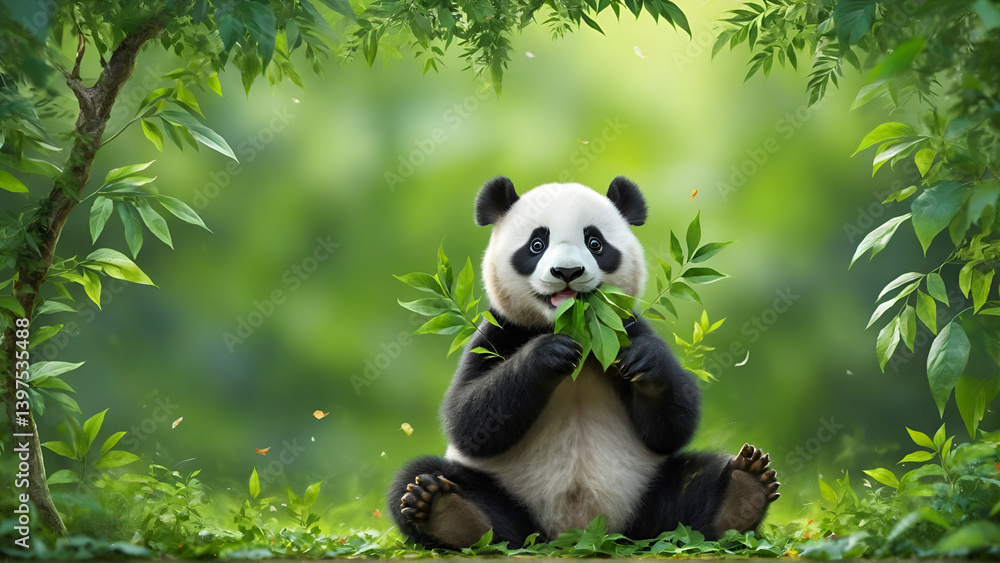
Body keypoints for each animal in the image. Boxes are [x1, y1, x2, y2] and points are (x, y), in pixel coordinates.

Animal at [389, 176, 779, 549]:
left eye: (595, 243)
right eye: (537, 245)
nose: (567, 272)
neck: (576, 327)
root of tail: (580, 533)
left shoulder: (625, 327)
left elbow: (672, 426)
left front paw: (642, 361)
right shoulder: (500, 333)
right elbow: (468, 421)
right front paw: (549, 355)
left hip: (647, 492)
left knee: (692, 487)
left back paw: (743, 491)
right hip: (508, 496)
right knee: (426, 483)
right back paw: (446, 512)